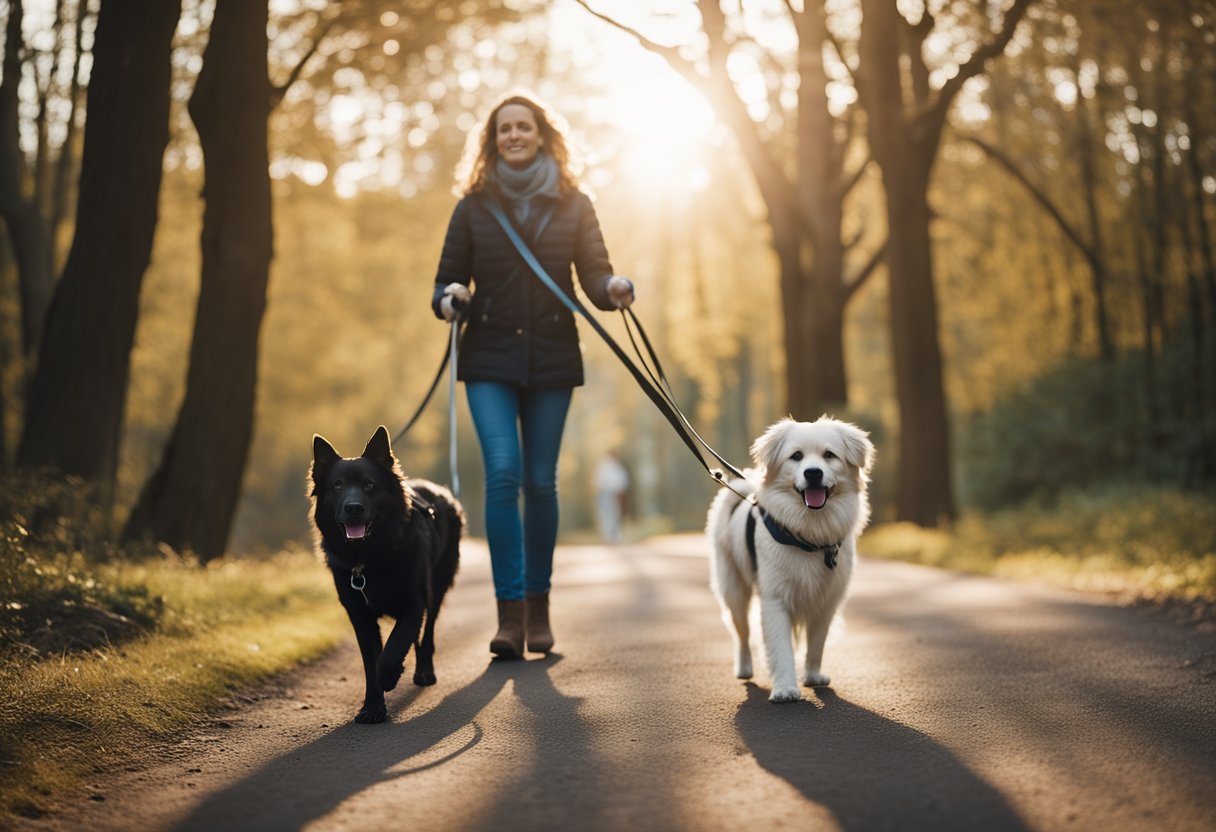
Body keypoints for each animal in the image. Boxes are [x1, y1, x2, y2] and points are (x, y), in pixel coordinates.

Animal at [311, 428, 462, 720]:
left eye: (369, 484)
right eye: (337, 486)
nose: (354, 507)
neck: (368, 558)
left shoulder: (414, 604)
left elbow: (392, 649)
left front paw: (390, 675)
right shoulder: (360, 615)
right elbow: (372, 662)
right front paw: (373, 706)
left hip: (436, 589)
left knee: (427, 634)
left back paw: (424, 671)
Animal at [705, 416, 875, 700]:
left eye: (829, 455)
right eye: (796, 456)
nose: (813, 472)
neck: (809, 536)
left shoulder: (827, 600)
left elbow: (816, 643)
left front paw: (813, 676)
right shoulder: (775, 598)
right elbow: (780, 646)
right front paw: (785, 688)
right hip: (734, 590)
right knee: (741, 633)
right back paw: (744, 668)